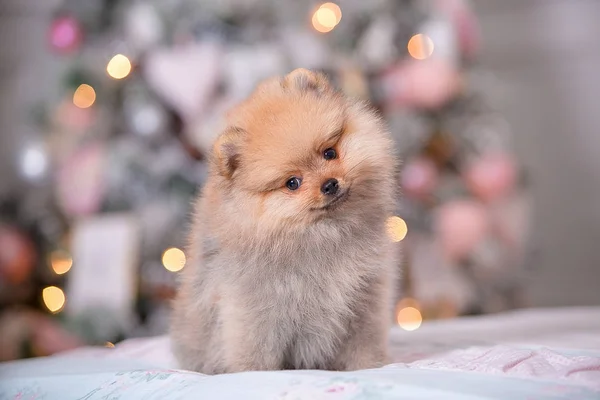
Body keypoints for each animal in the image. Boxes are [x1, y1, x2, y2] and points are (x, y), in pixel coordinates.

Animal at [171, 67, 400, 374]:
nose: (330, 184)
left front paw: (369, 366)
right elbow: (255, 352)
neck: (323, 233)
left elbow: (363, 342)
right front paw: (252, 374)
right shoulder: (255, 310)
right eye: (292, 183)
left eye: (329, 153)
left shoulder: (364, 297)